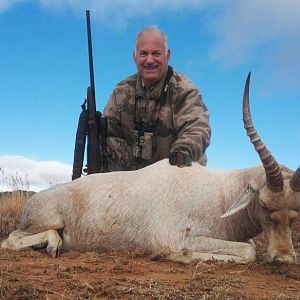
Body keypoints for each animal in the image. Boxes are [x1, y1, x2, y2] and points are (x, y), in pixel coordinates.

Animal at [1, 74, 298, 264]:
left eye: (295, 215)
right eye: (264, 205)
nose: (283, 258)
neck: (222, 195)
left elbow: (249, 248)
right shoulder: (183, 237)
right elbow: (248, 253)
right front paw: (174, 255)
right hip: (46, 220)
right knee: (10, 240)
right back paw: (51, 244)